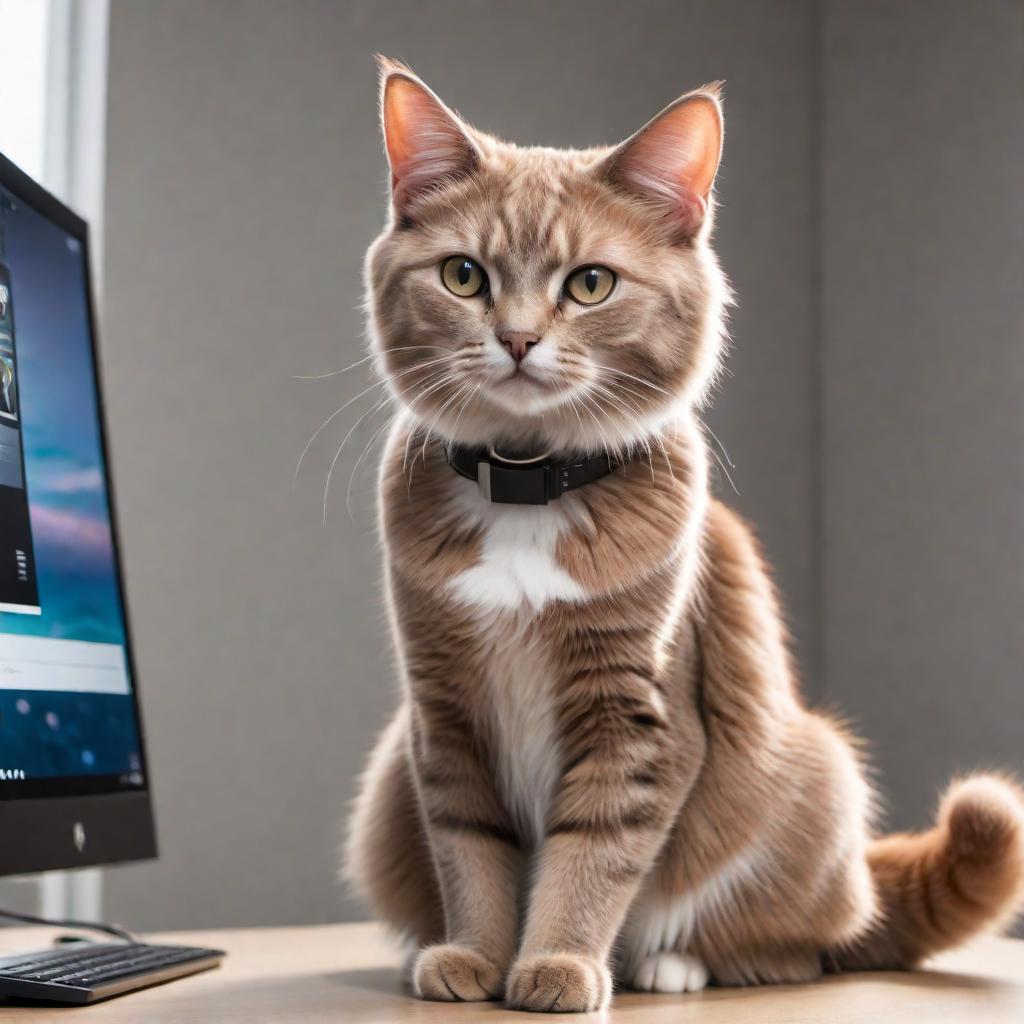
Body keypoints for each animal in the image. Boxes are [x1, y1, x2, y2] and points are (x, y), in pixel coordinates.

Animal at [344, 59, 1024, 1011]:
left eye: (590, 284)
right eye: (464, 276)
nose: (516, 339)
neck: (527, 492)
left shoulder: (641, 716)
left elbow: (593, 856)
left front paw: (557, 964)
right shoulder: (443, 713)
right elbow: (469, 847)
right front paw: (474, 958)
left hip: (814, 776)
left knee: (802, 947)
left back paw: (672, 965)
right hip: (384, 789)